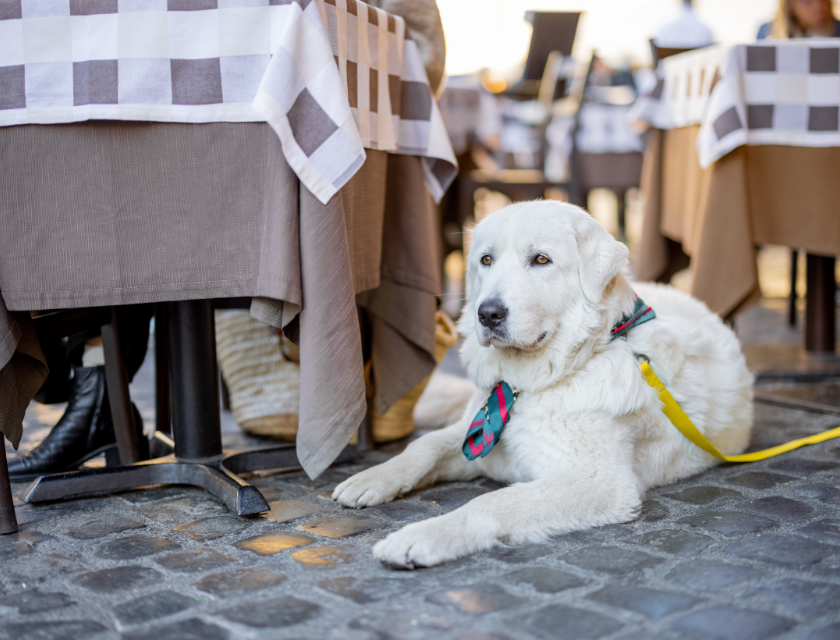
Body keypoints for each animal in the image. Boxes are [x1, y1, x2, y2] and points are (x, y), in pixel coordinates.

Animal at [332, 201, 752, 568]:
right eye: (486, 260)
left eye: (541, 260)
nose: (488, 313)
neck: (529, 385)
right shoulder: (476, 431)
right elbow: (424, 446)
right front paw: (373, 478)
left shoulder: (599, 481)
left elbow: (491, 503)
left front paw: (421, 537)